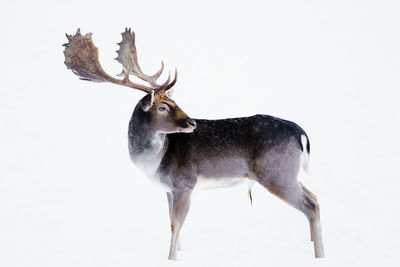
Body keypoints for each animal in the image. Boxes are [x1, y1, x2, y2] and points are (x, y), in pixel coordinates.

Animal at [62, 28, 324, 260]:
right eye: (163, 106)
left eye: (174, 102)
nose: (191, 122)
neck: (154, 162)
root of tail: (301, 133)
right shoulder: (169, 189)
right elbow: (171, 222)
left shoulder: (184, 182)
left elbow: (175, 225)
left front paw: (171, 259)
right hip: (288, 172)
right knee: (314, 195)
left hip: (274, 172)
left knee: (311, 204)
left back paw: (319, 255)